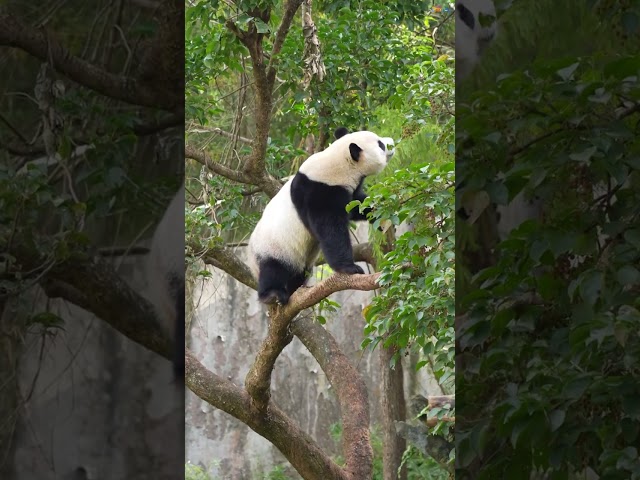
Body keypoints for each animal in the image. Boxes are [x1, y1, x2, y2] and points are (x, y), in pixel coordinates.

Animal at [249, 128, 396, 304]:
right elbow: (331, 230)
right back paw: (272, 294)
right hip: (273, 247)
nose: (392, 142)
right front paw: (350, 268)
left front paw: (384, 214)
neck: (340, 162)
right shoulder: (320, 190)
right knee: (273, 269)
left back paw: (294, 290)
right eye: (380, 144)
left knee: (299, 272)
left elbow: (357, 205)